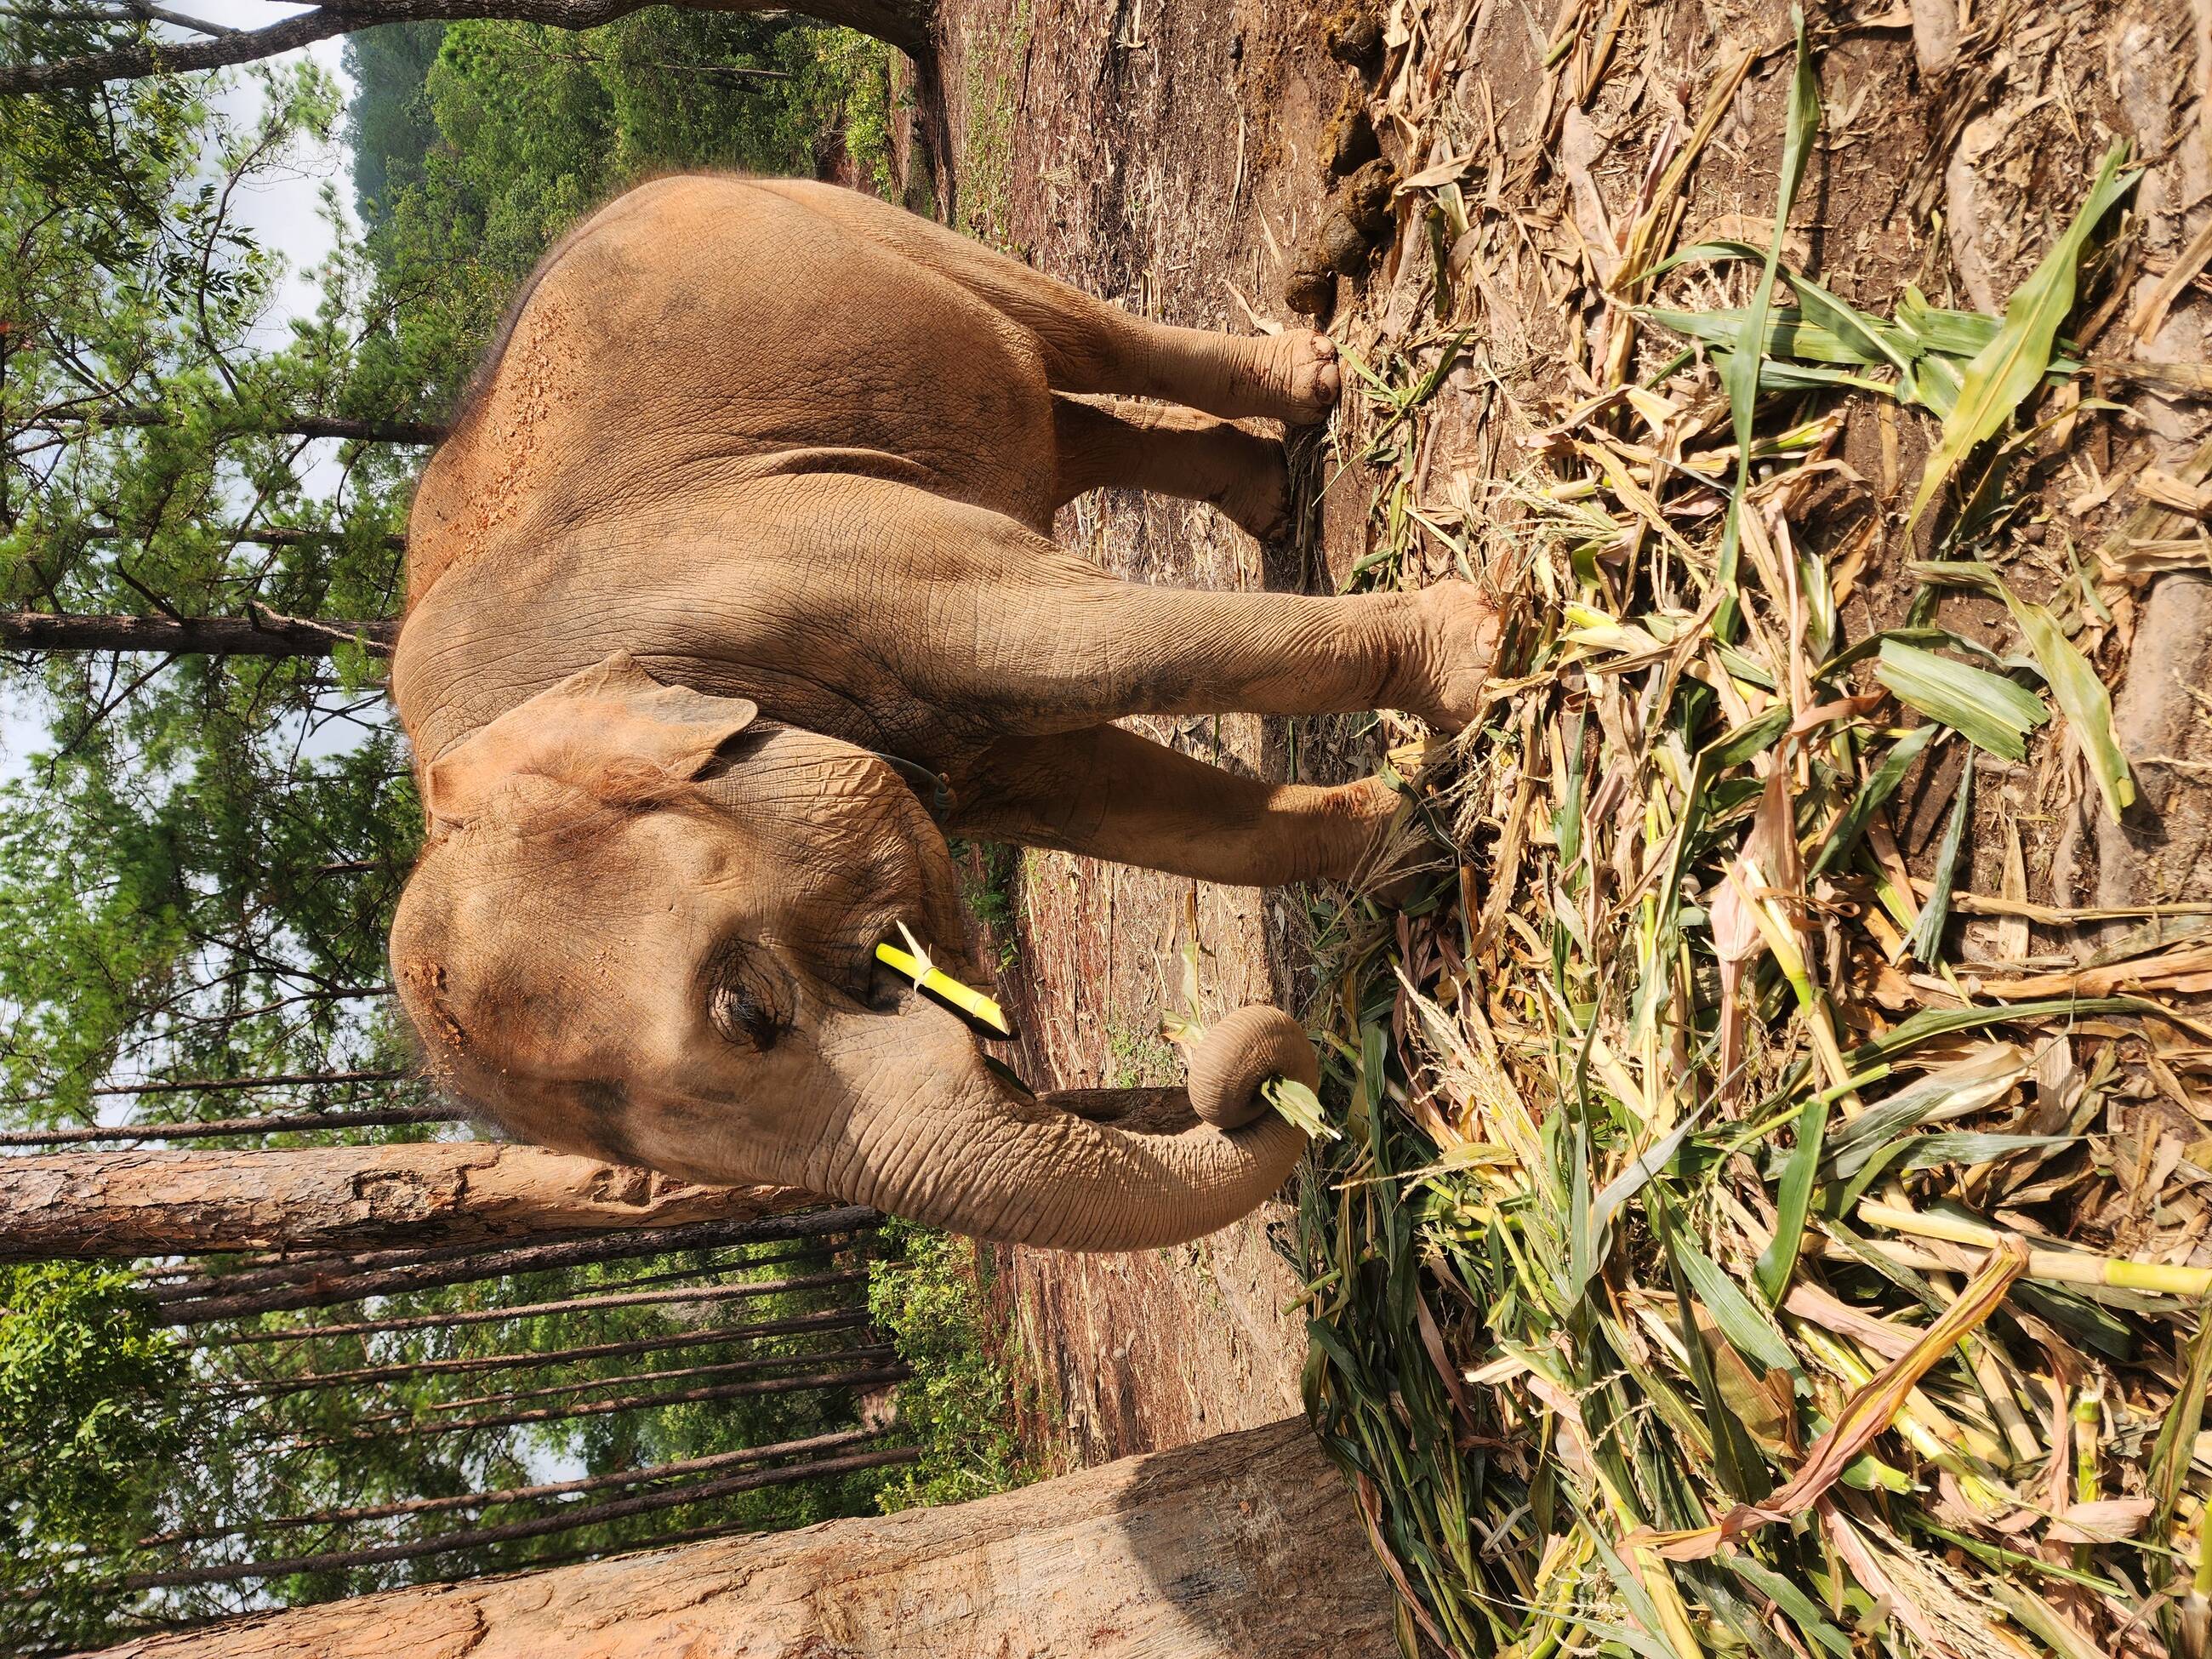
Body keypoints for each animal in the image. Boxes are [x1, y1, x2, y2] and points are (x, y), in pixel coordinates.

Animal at [388, 175, 1498, 1252]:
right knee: (1050, 425)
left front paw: (1474, 659)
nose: (1255, 1082)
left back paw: (1313, 383)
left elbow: (1070, 647)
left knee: (1067, 337)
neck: (482, 749)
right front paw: (1404, 853)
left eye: (747, 1009)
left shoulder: (797, 557)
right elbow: (1090, 792)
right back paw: (1271, 499)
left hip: (848, 218)